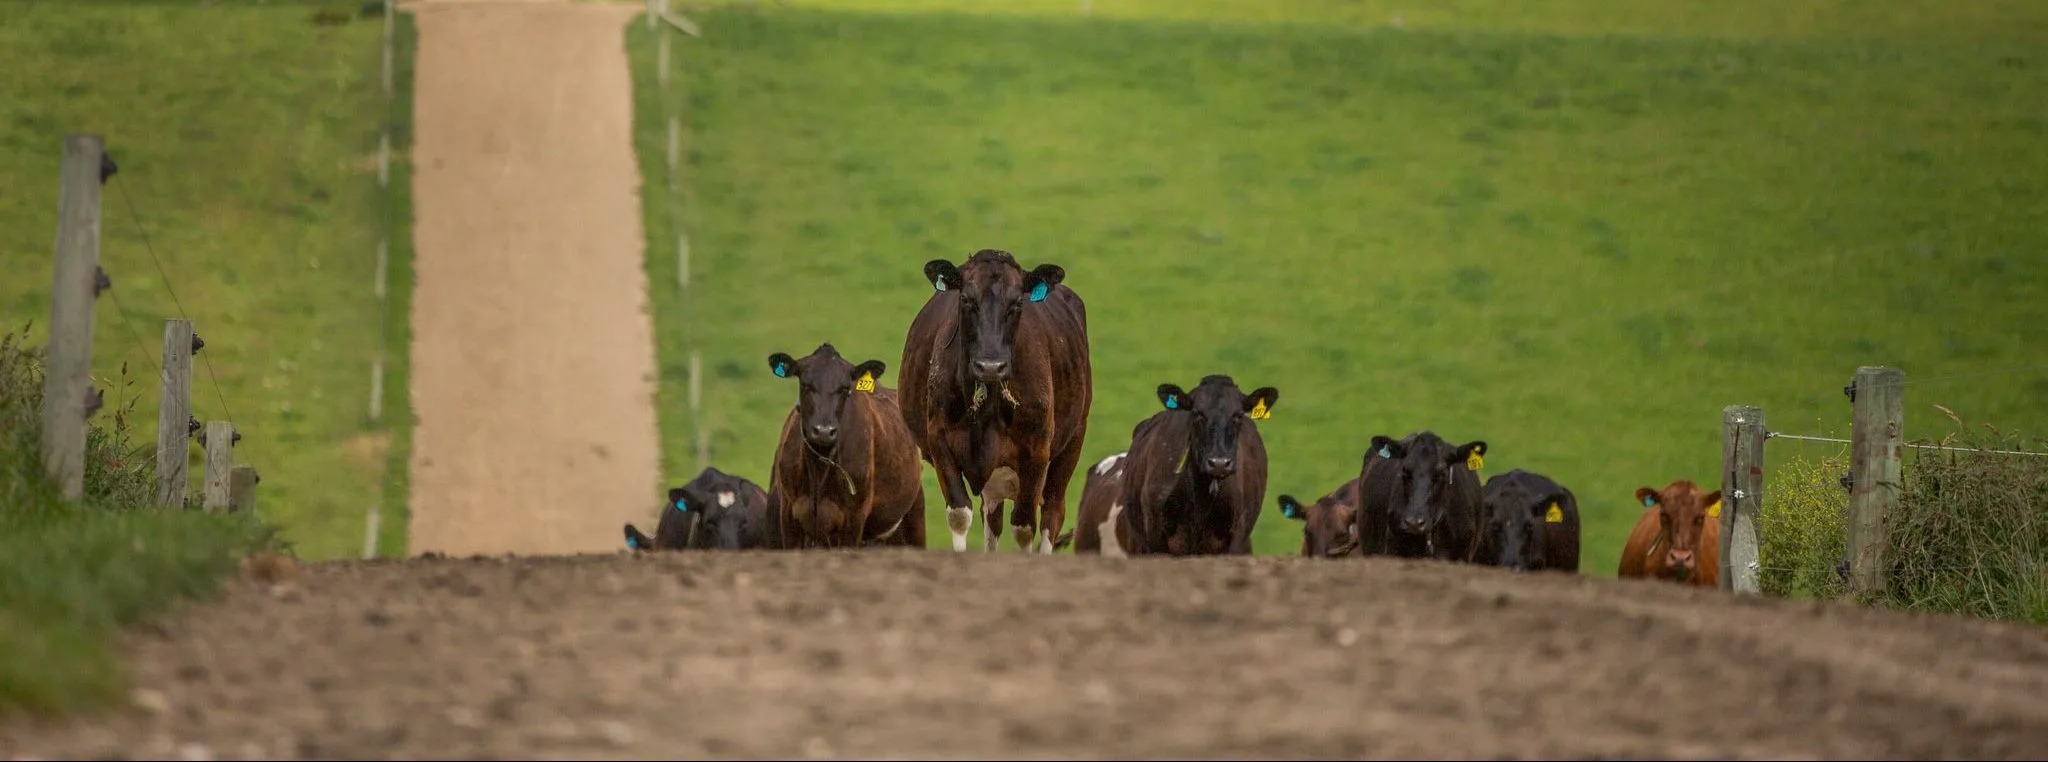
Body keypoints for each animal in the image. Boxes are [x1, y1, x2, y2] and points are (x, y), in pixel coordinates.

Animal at [770, 342, 929, 548]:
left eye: (844, 388)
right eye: (805, 384)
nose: (823, 431)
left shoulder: (853, 519)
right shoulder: (789, 515)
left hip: (914, 516)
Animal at [897, 249, 1089, 553]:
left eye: (1018, 302)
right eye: (966, 299)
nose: (990, 366)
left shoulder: (1037, 449)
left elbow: (1024, 526)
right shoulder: (939, 439)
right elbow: (959, 514)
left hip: (1072, 441)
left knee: (1052, 513)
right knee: (992, 518)